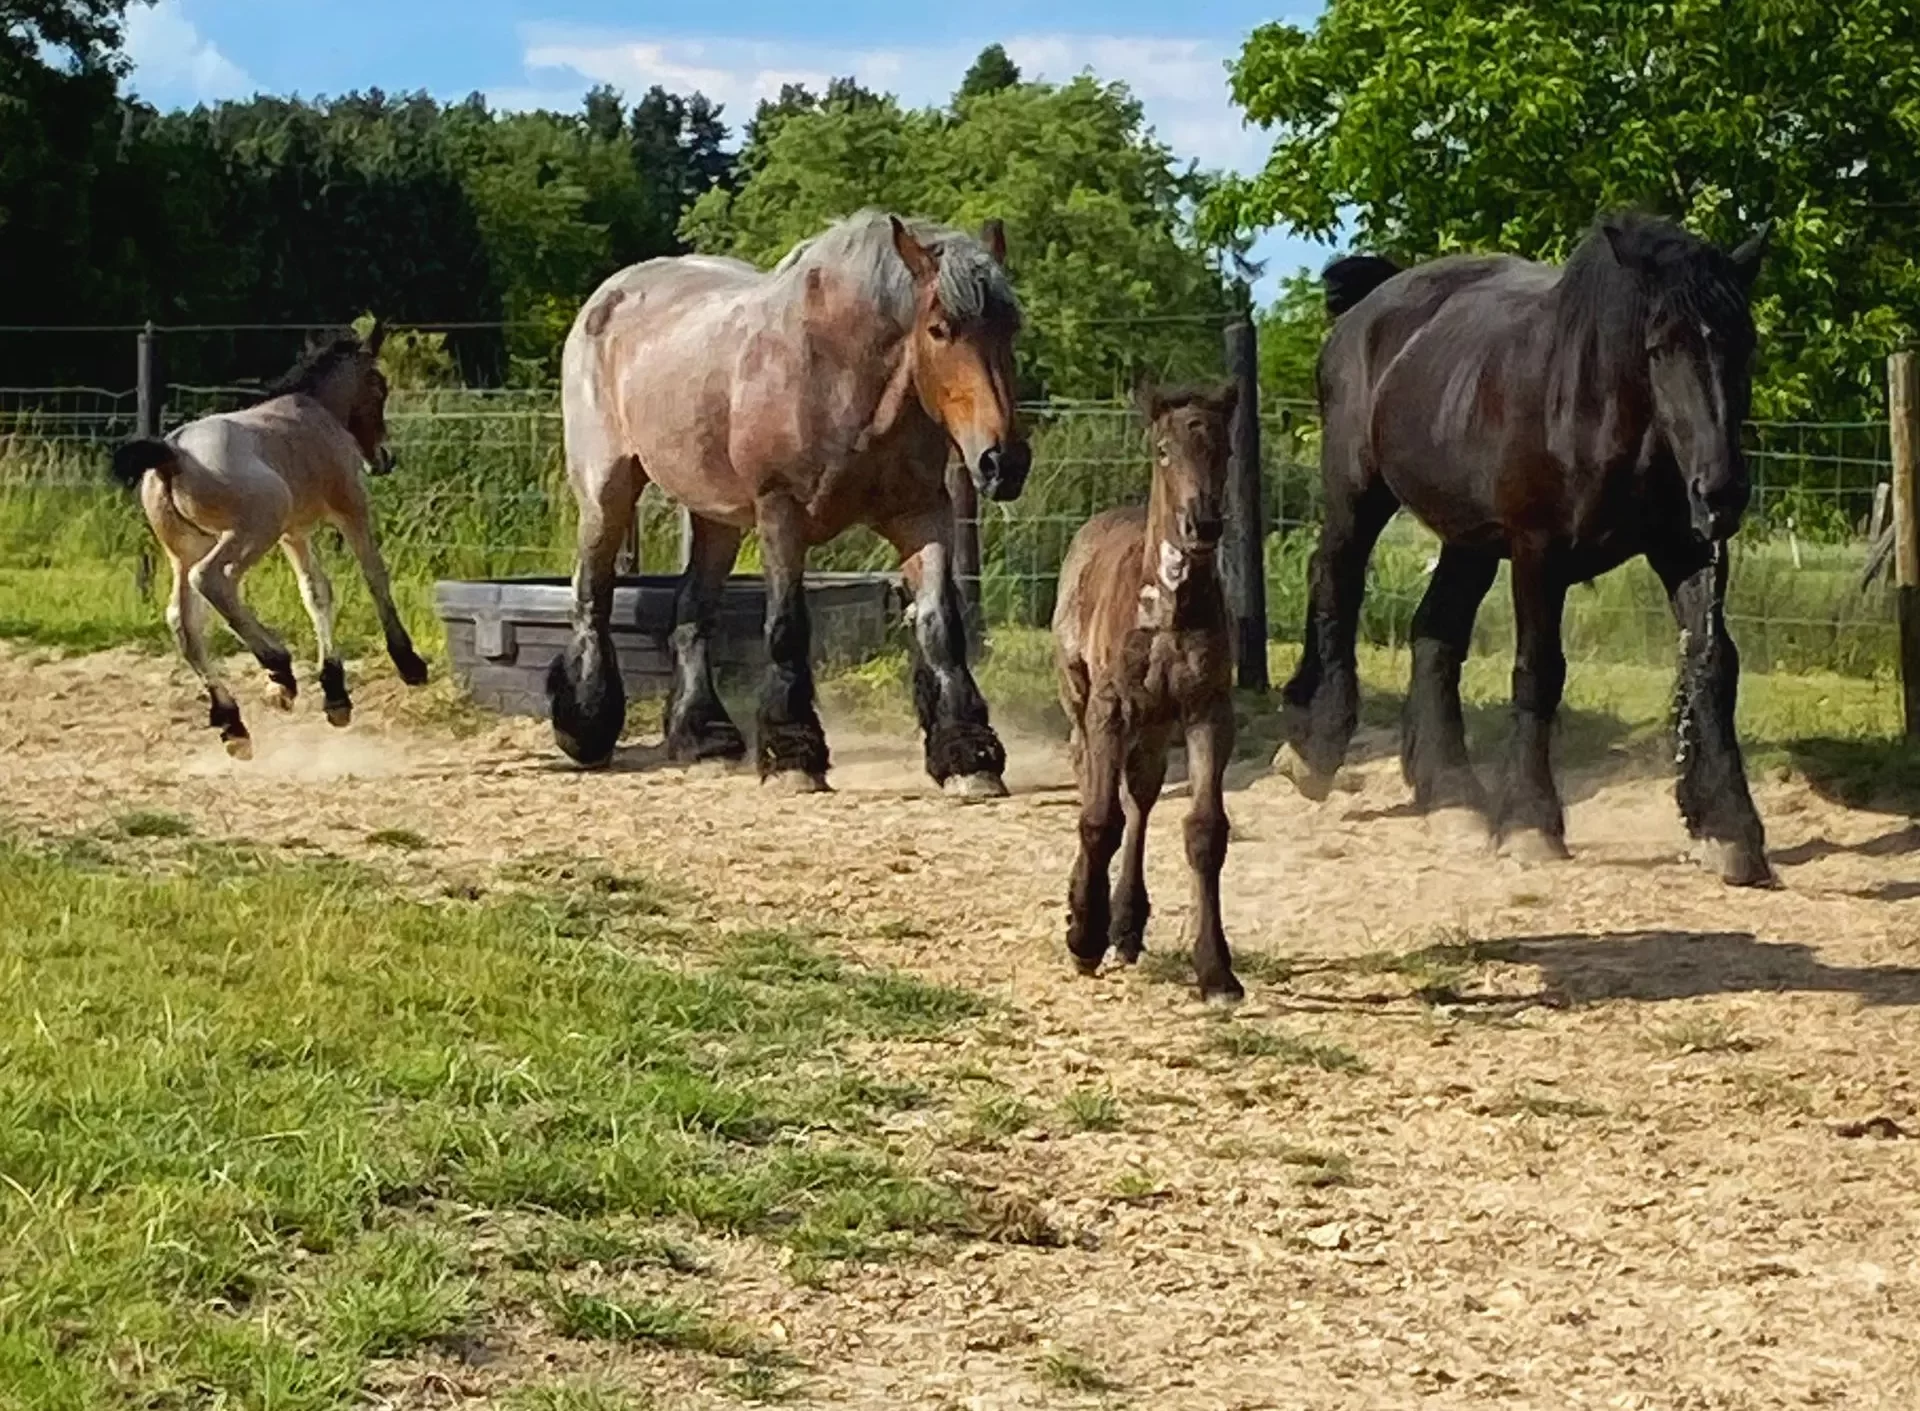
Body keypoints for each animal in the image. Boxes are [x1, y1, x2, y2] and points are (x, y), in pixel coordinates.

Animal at [112, 324, 432, 756]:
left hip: (186, 550)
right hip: (250, 531)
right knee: (212, 581)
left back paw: (233, 721)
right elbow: (375, 576)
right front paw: (409, 663)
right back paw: (277, 665)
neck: (314, 412)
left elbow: (316, 592)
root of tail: (171, 454)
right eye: (379, 386)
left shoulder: (293, 533)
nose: (383, 458)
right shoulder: (350, 507)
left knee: (183, 620)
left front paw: (336, 695)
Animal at [552, 209, 1036, 794]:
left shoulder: (921, 514)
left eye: (1010, 328)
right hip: (607, 490)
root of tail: (608, 297)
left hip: (717, 517)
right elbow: (787, 627)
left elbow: (941, 624)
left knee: (692, 610)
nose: (1002, 462)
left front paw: (967, 755)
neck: (839, 373)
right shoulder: (781, 514)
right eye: (940, 329)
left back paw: (704, 736)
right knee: (592, 593)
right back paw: (585, 726)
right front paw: (793, 754)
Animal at [1052, 380, 1244, 1005]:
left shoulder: (1208, 709)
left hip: (1156, 723)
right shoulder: (1110, 706)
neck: (1168, 610)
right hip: (1079, 696)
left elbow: (1205, 830)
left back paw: (1127, 925)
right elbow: (1098, 819)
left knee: (1140, 793)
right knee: (1090, 777)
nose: (1202, 524)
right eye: (1163, 450)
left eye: (1226, 450)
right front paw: (1083, 939)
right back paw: (1085, 912)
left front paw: (1216, 971)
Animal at [1282, 211, 1774, 886]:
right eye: (1659, 346)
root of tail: (1369, 304)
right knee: (1335, 580)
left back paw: (1452, 796)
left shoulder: (1687, 550)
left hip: (1468, 538)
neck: (1592, 408)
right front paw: (1530, 823)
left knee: (1434, 633)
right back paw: (1315, 749)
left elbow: (1713, 666)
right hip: (1357, 493)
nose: (1722, 490)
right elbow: (1538, 672)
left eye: (1744, 342)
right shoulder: (1539, 552)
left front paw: (1729, 830)